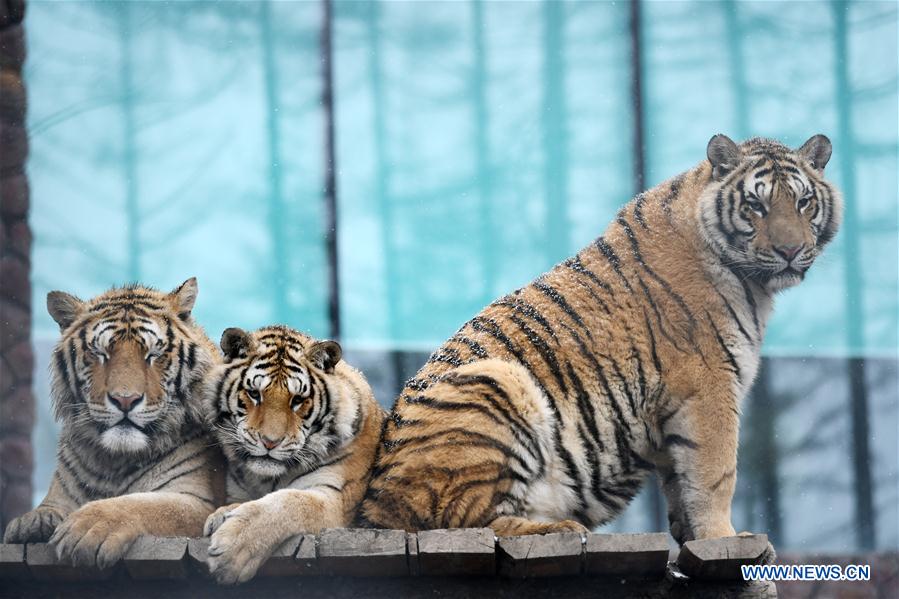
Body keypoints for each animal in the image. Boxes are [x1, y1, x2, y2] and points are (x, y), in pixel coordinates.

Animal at [2, 278, 225, 569]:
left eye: (153, 354)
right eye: (100, 353)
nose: (125, 399)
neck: (112, 460)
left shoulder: (198, 502)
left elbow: (145, 505)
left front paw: (86, 528)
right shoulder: (61, 493)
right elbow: (48, 507)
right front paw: (30, 522)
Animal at [202, 325, 385, 584]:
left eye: (297, 400)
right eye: (254, 394)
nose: (270, 441)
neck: (265, 478)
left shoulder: (334, 499)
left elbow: (288, 502)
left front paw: (231, 550)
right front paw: (220, 516)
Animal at [360, 134, 841, 544]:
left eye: (803, 201)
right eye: (756, 205)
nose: (789, 251)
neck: (752, 284)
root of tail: (372, 507)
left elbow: (682, 480)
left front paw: (691, 538)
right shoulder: (709, 386)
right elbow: (716, 474)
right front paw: (724, 539)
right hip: (494, 381)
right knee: (466, 520)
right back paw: (556, 528)